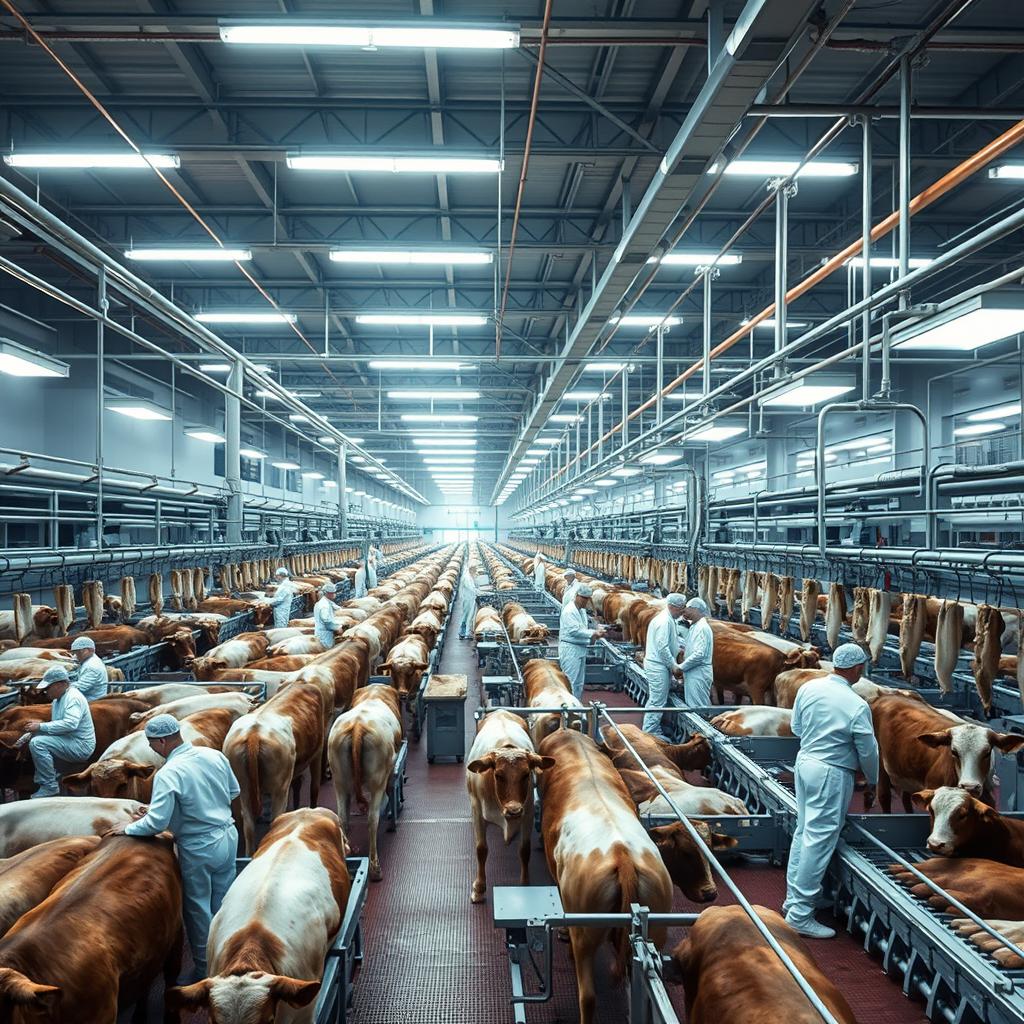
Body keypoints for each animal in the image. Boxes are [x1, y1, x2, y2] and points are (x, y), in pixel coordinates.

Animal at [468, 712, 557, 905]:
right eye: (498, 775)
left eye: (526, 775)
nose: (513, 810)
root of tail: (500, 711)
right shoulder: (477, 810)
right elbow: (481, 849)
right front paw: (478, 889)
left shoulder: (528, 813)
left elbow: (524, 850)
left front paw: (524, 885)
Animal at [864, 692, 1024, 811]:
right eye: (954, 752)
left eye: (987, 752)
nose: (970, 787)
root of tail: (883, 697)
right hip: (880, 766)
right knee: (884, 796)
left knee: (906, 799)